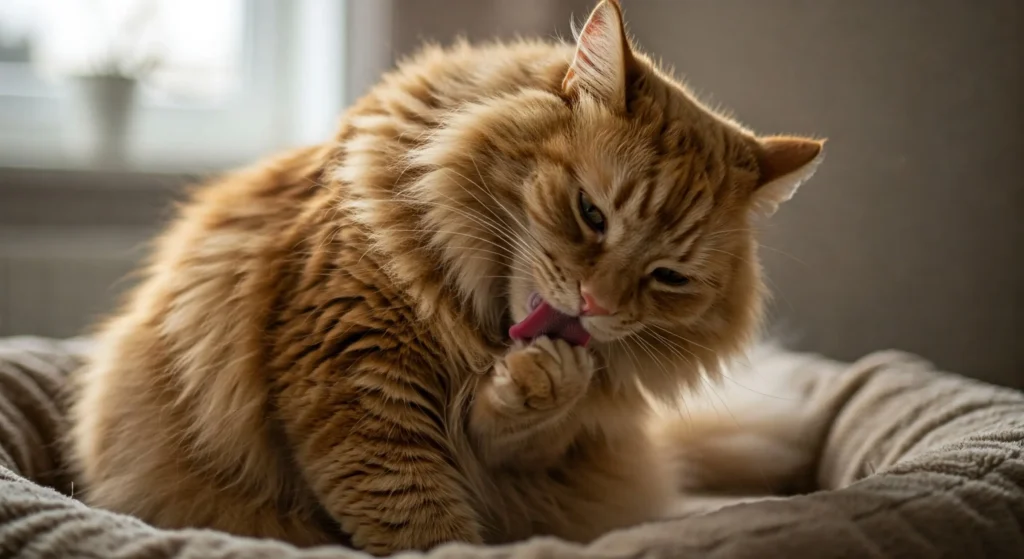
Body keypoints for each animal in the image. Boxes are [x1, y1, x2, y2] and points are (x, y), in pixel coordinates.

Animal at [66, 2, 823, 552]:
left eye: (668, 276)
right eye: (591, 214)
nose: (595, 303)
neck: (476, 329)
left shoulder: (529, 451)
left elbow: (518, 427)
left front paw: (546, 377)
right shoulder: (360, 390)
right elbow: (425, 526)